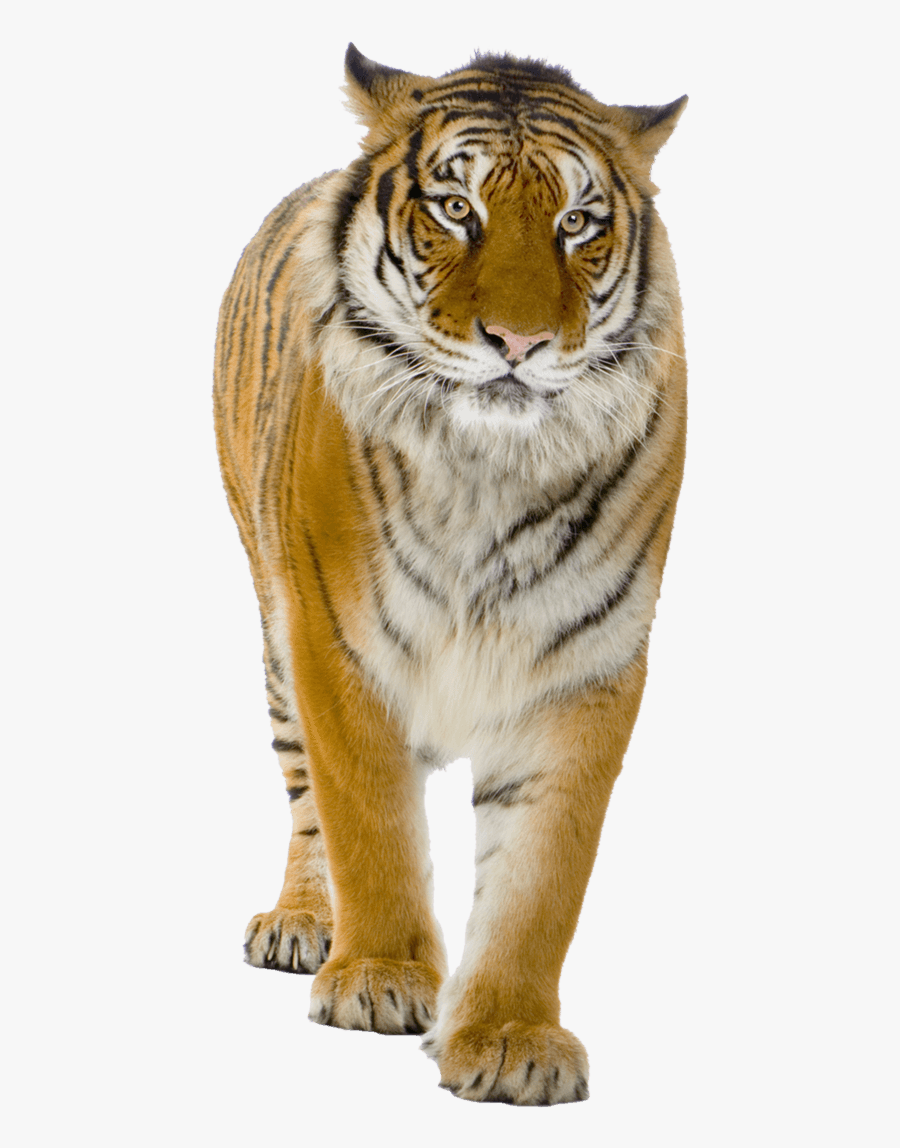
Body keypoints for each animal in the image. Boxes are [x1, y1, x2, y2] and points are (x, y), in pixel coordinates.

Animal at [214, 43, 687, 1106]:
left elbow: (541, 879)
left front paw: (511, 1037)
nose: (518, 344)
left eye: (577, 223)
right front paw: (380, 978)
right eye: (457, 208)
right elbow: (369, 824)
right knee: (305, 798)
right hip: (272, 625)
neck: (489, 469)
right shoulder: (338, 642)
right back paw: (305, 923)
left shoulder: (585, 668)